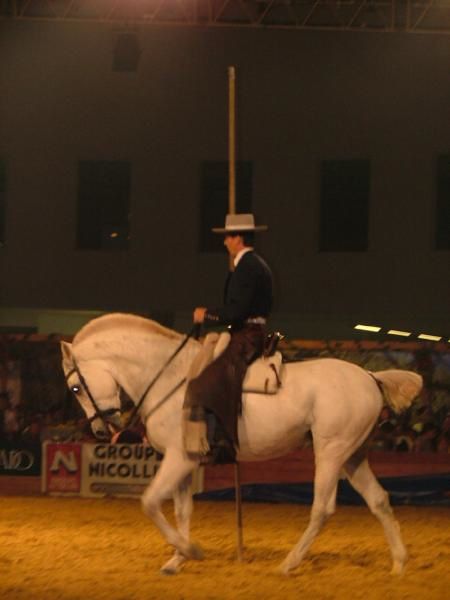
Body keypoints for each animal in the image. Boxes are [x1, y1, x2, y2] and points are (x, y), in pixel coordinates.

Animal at [60, 312, 422, 576]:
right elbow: (182, 509)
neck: (170, 376)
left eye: (76, 388)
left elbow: (149, 502)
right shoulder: (186, 459)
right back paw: (399, 564)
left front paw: (191, 551)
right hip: (353, 456)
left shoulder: (178, 458)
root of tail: (370, 378)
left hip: (330, 453)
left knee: (322, 508)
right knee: (379, 500)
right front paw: (177, 560)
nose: (102, 430)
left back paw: (289, 564)